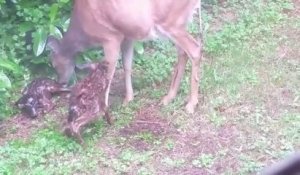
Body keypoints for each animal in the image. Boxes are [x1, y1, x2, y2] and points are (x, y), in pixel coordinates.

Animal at [47, 0, 202, 113]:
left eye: (54, 64)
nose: (61, 82)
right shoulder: (127, 36)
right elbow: (127, 66)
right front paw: (128, 99)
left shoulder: (110, 38)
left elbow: (109, 75)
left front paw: (103, 109)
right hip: (177, 24)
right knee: (183, 52)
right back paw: (168, 97)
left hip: (171, 23)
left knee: (195, 49)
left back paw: (191, 104)